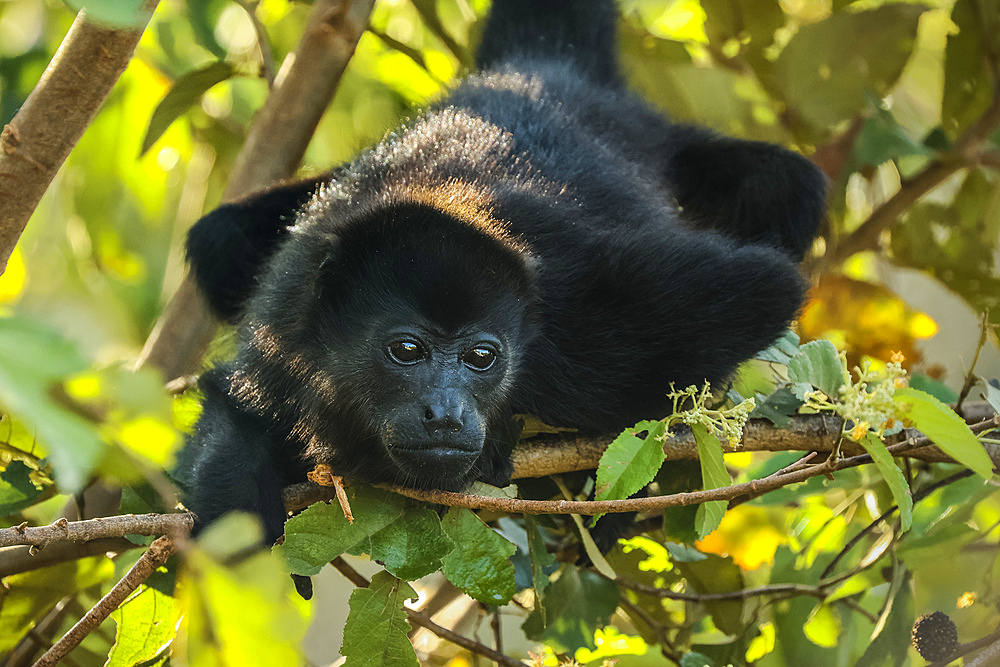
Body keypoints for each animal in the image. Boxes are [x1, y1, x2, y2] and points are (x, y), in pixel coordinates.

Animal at [184, 0, 824, 552]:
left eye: (481, 357)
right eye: (406, 351)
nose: (444, 412)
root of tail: (539, 71)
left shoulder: (585, 324)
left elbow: (767, 286)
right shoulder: (285, 338)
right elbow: (235, 407)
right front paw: (236, 519)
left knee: (789, 187)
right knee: (217, 239)